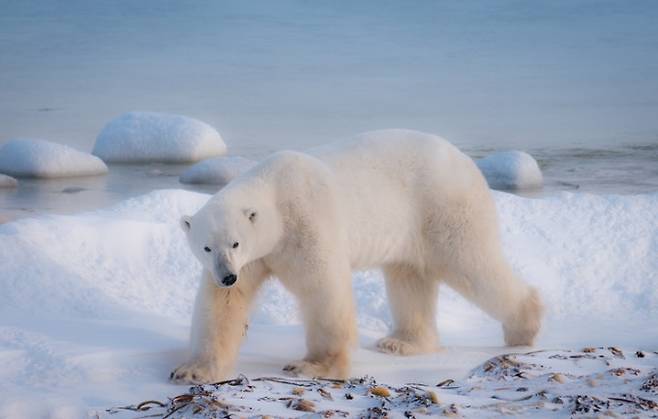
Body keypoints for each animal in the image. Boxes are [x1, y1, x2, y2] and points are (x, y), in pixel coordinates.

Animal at [170, 130, 544, 386]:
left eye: (235, 243)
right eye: (206, 247)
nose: (226, 276)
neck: (275, 190)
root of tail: (466, 160)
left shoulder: (305, 224)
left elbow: (323, 290)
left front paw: (313, 365)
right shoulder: (255, 258)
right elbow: (222, 305)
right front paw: (192, 370)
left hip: (443, 207)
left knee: (471, 262)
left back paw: (524, 325)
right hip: (411, 228)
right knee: (409, 278)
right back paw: (401, 342)